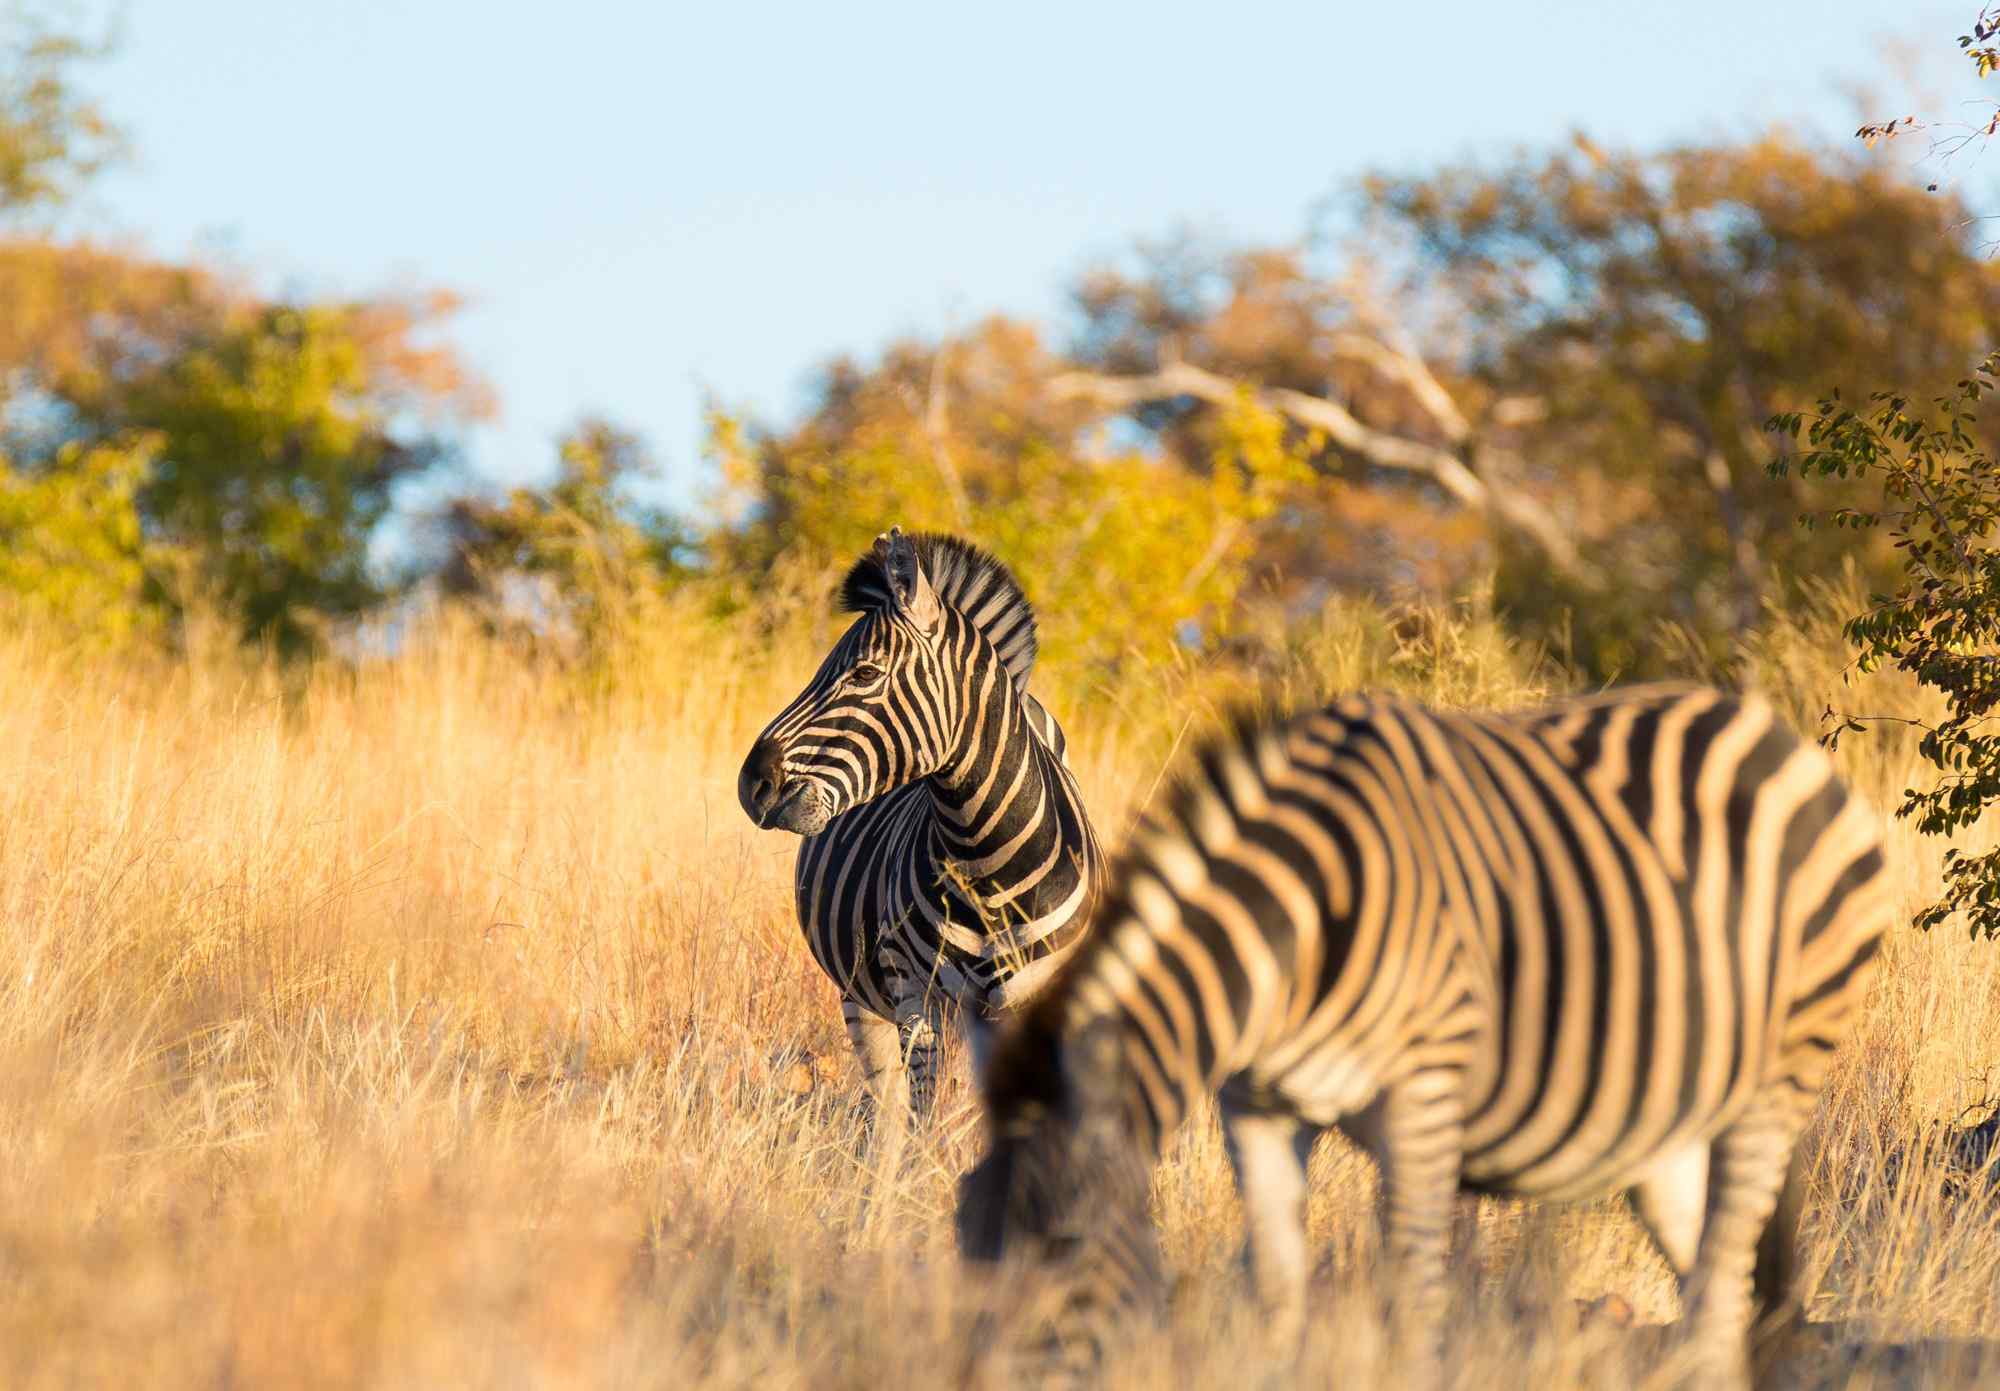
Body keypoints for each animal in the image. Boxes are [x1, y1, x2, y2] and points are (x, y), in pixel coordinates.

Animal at [738, 527, 1103, 1172]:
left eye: (864, 674)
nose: (750, 782)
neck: (987, 859)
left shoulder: (1038, 1005)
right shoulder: (917, 1000)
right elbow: (922, 1128)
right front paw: (920, 1199)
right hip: (864, 999)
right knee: (887, 1119)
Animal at [957, 684, 1891, 1389]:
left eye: (1065, 1247)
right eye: (966, 1239)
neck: (1299, 932)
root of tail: (1773, 731)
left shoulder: (1426, 1097)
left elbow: (1411, 1298)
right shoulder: (1255, 1108)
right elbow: (1277, 1295)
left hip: (1779, 1078)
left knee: (1725, 1281)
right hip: (1671, 1120)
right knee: (1714, 1292)